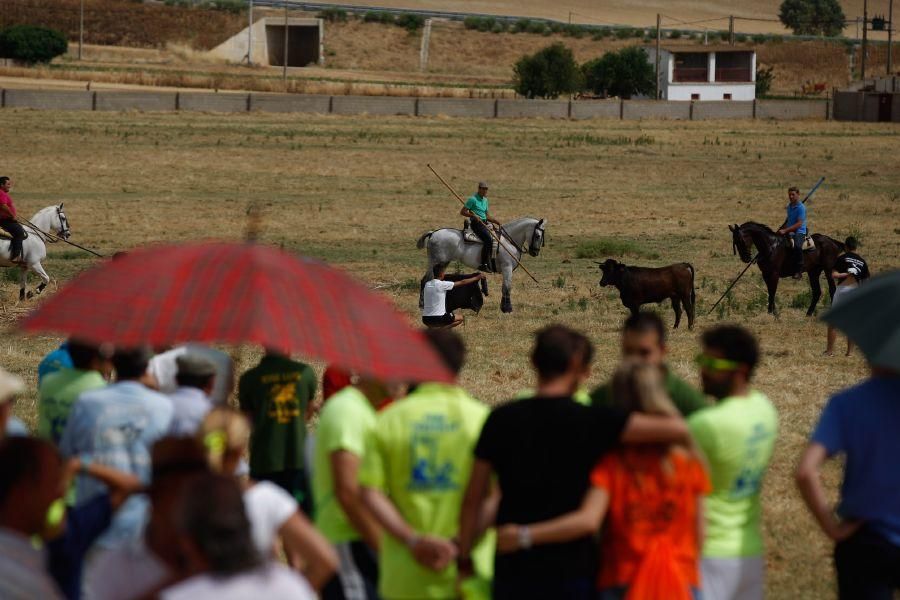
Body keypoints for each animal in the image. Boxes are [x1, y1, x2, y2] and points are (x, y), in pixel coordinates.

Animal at [416, 217, 548, 314]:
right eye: (538, 236)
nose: (535, 252)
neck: (508, 241)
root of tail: (433, 233)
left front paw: (504, 307)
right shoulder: (507, 268)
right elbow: (506, 287)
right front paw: (507, 309)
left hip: (443, 263)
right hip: (436, 262)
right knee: (427, 280)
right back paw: (423, 304)